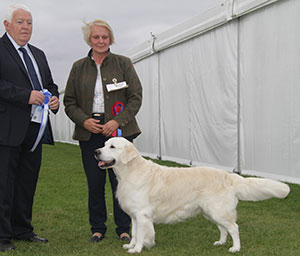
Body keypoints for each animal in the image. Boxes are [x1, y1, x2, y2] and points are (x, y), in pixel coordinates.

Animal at [94, 137, 290, 253]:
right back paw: (220, 243)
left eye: (112, 146)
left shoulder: (142, 214)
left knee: (234, 227)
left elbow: (142, 234)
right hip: (210, 212)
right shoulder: (134, 215)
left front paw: (137, 249)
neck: (129, 172)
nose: (96, 151)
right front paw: (131, 245)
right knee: (223, 229)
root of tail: (228, 175)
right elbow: (134, 233)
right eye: (103, 144)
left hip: (218, 210)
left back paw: (235, 248)